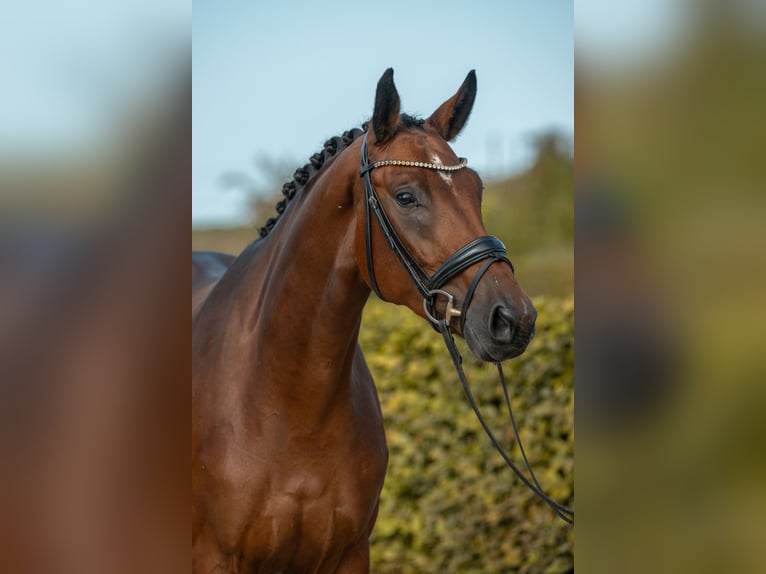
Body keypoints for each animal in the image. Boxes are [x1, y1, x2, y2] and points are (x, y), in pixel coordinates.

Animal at [192, 68, 537, 573]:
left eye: (478, 190)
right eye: (406, 196)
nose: (514, 319)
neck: (287, 408)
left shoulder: (351, 554)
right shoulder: (214, 558)